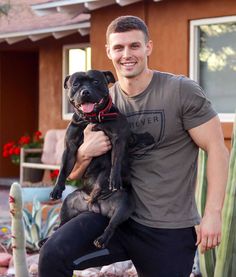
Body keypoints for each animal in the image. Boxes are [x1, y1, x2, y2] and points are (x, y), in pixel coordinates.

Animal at [49, 70, 135, 247]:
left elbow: (116, 161)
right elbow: (63, 169)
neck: (92, 119)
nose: (85, 92)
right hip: (69, 202)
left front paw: (114, 179)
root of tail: (95, 206)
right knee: (62, 223)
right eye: (76, 84)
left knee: (112, 224)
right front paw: (57, 188)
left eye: (96, 82)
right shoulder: (70, 147)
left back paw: (101, 239)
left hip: (124, 204)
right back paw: (45, 239)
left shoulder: (118, 140)